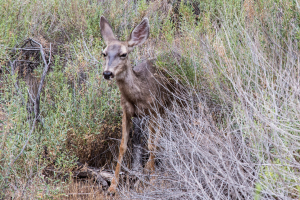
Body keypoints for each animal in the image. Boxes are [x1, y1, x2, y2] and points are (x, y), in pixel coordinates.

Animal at [101, 16, 180, 194]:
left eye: (123, 54)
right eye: (104, 53)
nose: (107, 73)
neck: (137, 95)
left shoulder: (153, 109)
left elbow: (151, 143)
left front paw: (151, 179)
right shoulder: (126, 112)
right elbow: (123, 146)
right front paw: (113, 186)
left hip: (173, 102)